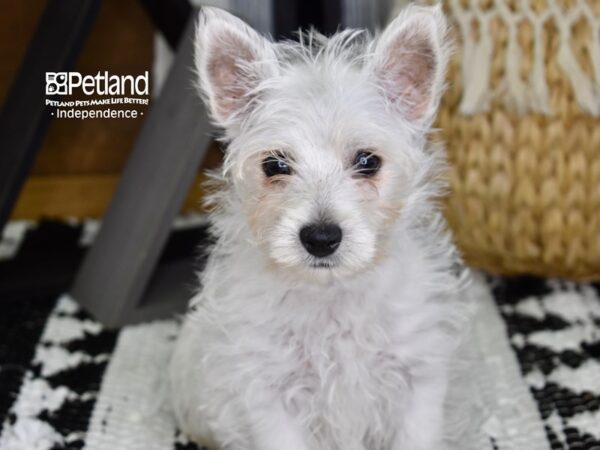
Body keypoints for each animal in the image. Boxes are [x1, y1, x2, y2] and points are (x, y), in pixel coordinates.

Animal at [171, 4, 472, 450]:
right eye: (275, 165)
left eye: (368, 161)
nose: (321, 238)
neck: (333, 295)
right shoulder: (271, 394)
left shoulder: (418, 378)